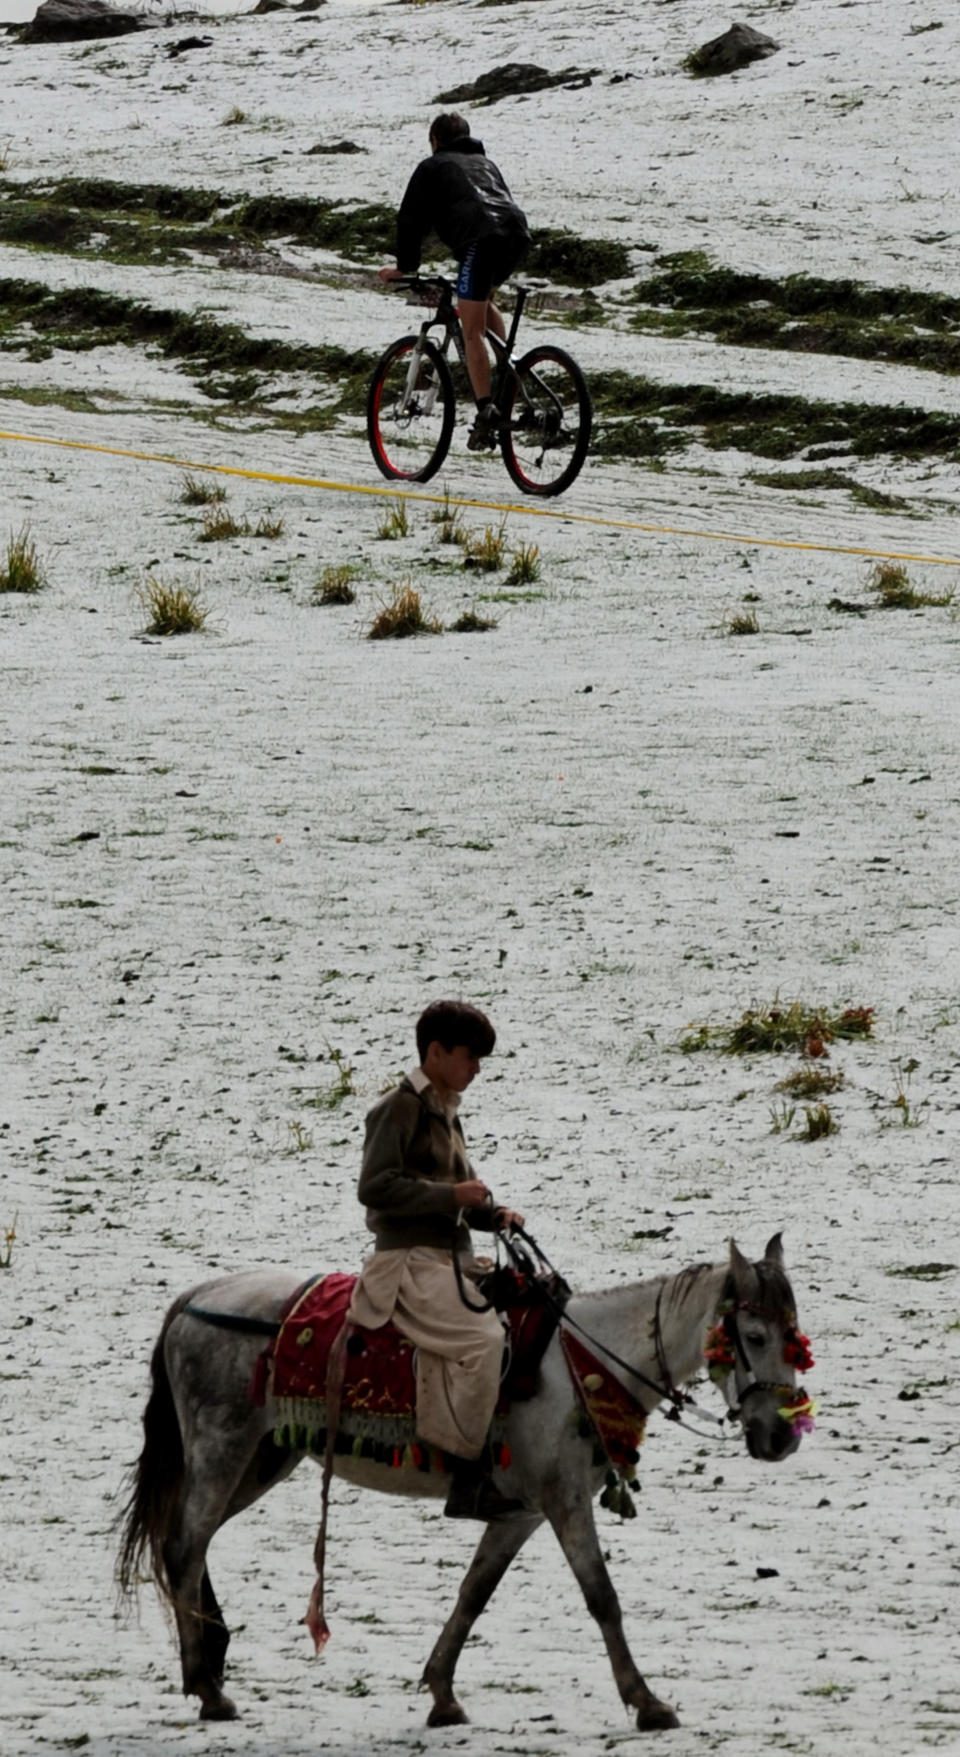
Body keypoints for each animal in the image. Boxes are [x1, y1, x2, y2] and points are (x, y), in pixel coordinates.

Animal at [117, 1236, 808, 1728]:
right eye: (752, 1336)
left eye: (796, 1340)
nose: (781, 1437)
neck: (581, 1364)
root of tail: (195, 1298)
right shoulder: (563, 1503)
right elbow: (601, 1597)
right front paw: (646, 1702)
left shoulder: (520, 1515)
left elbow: (473, 1595)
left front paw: (442, 1694)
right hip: (224, 1451)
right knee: (185, 1545)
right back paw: (208, 1689)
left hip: (262, 1460)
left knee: (191, 1543)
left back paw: (210, 1665)